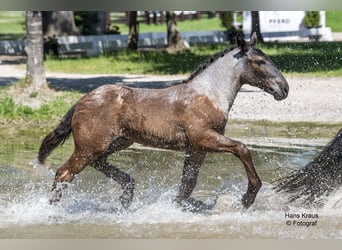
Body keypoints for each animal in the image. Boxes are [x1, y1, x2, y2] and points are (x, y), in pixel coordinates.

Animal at [38, 33, 288, 212]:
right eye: (259, 61)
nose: (284, 88)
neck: (208, 94)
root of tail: (82, 100)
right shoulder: (205, 139)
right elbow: (242, 148)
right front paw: (248, 197)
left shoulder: (196, 150)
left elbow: (187, 184)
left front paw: (182, 206)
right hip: (89, 147)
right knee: (63, 173)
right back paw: (49, 210)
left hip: (115, 143)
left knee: (97, 164)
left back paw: (127, 194)